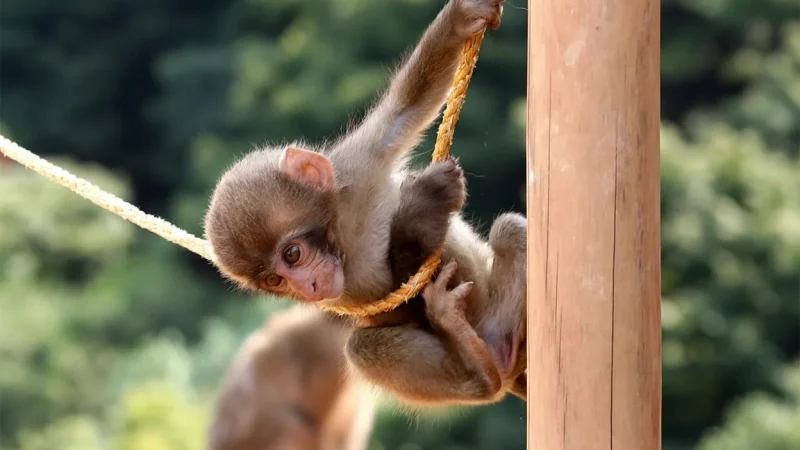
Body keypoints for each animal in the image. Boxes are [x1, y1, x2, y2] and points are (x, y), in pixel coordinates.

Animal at [204, 0, 527, 406]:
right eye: (275, 280)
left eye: (292, 255)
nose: (309, 288)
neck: (341, 235)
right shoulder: (343, 293)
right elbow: (392, 311)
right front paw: (420, 216)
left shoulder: (360, 166)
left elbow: (406, 108)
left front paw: (461, 19)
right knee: (361, 348)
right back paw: (479, 367)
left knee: (509, 231)